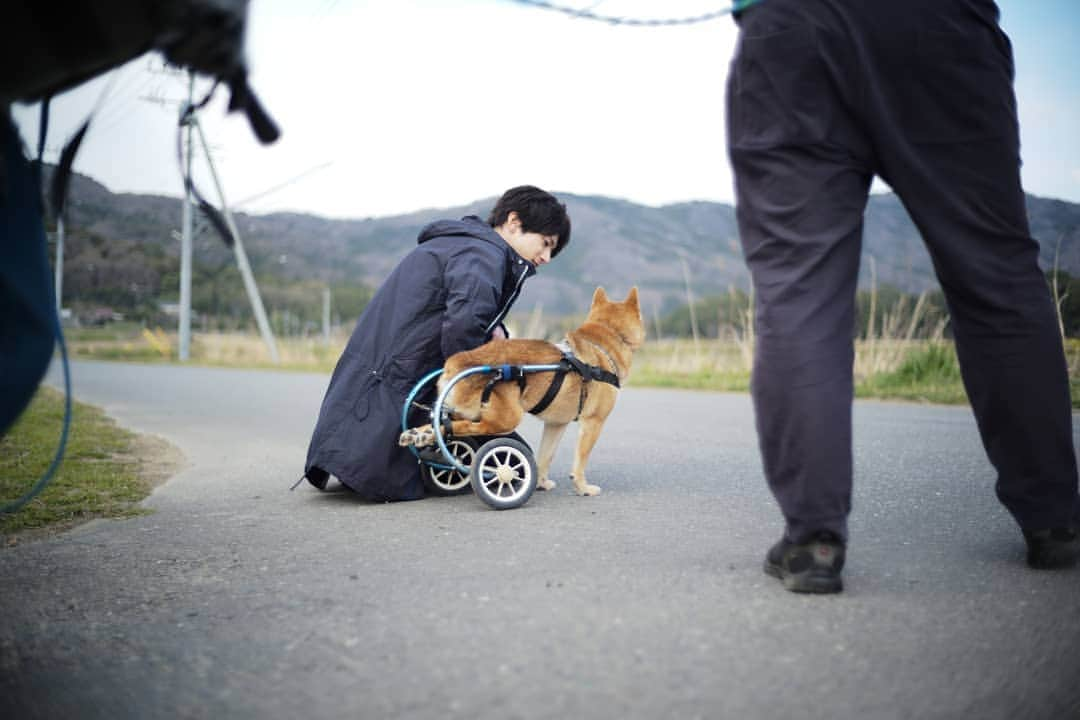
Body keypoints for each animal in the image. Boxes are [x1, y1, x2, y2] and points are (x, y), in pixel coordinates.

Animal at [401, 287, 643, 496]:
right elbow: (579, 464)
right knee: (461, 427)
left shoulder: (556, 424)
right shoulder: (593, 423)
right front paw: (583, 488)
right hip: (506, 419)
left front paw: (540, 483)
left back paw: (418, 434)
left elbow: (544, 457)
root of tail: (457, 363)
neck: (606, 340)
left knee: (440, 423)